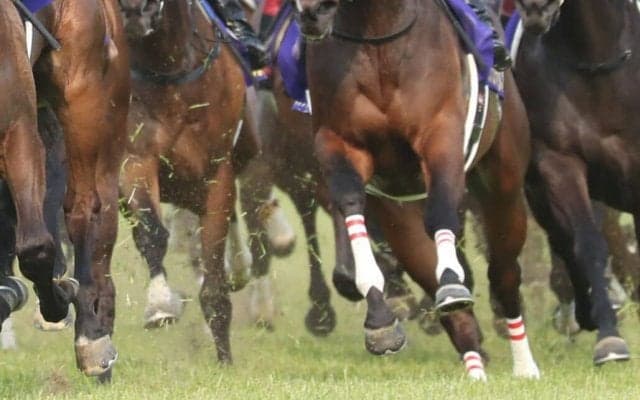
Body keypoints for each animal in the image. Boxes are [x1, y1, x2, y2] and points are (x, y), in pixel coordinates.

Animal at [118, 0, 247, 364]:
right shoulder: (134, 158)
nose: (135, 11)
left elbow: (213, 260)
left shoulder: (216, 174)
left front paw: (225, 359)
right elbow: (150, 233)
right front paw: (160, 305)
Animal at [297, 0, 538, 379]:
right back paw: (475, 370)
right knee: (451, 306)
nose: (312, 12)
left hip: (505, 186)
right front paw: (380, 320)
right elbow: (351, 205)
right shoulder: (339, 142)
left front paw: (453, 282)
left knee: (504, 273)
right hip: (400, 218)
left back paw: (525, 365)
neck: (378, 40)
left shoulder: (440, 133)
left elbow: (441, 212)